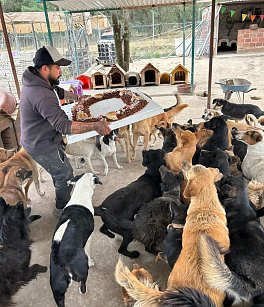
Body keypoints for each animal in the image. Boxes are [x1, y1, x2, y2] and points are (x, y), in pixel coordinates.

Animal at [49, 173, 102, 307]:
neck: (80, 193)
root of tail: (61, 260)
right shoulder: (89, 238)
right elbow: (88, 250)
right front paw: (91, 261)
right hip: (82, 268)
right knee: (83, 283)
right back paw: (83, 290)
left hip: (57, 287)